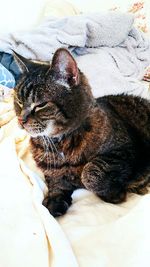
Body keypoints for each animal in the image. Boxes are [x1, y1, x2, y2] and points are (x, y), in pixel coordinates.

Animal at [13, 48, 150, 218]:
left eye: (41, 105)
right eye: (19, 101)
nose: (20, 119)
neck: (61, 144)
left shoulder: (125, 150)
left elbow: (90, 172)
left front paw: (113, 194)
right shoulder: (52, 171)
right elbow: (55, 180)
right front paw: (55, 199)